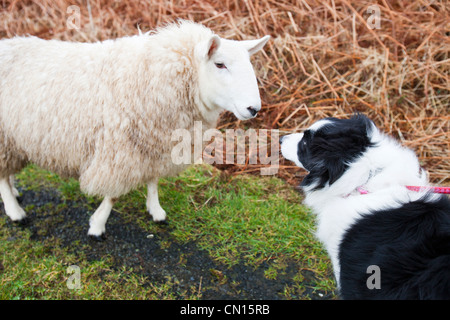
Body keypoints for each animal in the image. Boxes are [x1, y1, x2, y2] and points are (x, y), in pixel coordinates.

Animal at [0, 20, 268, 239]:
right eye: (220, 64)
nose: (254, 109)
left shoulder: (155, 142)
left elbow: (153, 179)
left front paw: (155, 210)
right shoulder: (119, 152)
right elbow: (114, 194)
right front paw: (97, 225)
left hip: (13, 137)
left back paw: (15, 192)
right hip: (3, 138)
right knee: (2, 175)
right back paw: (15, 210)